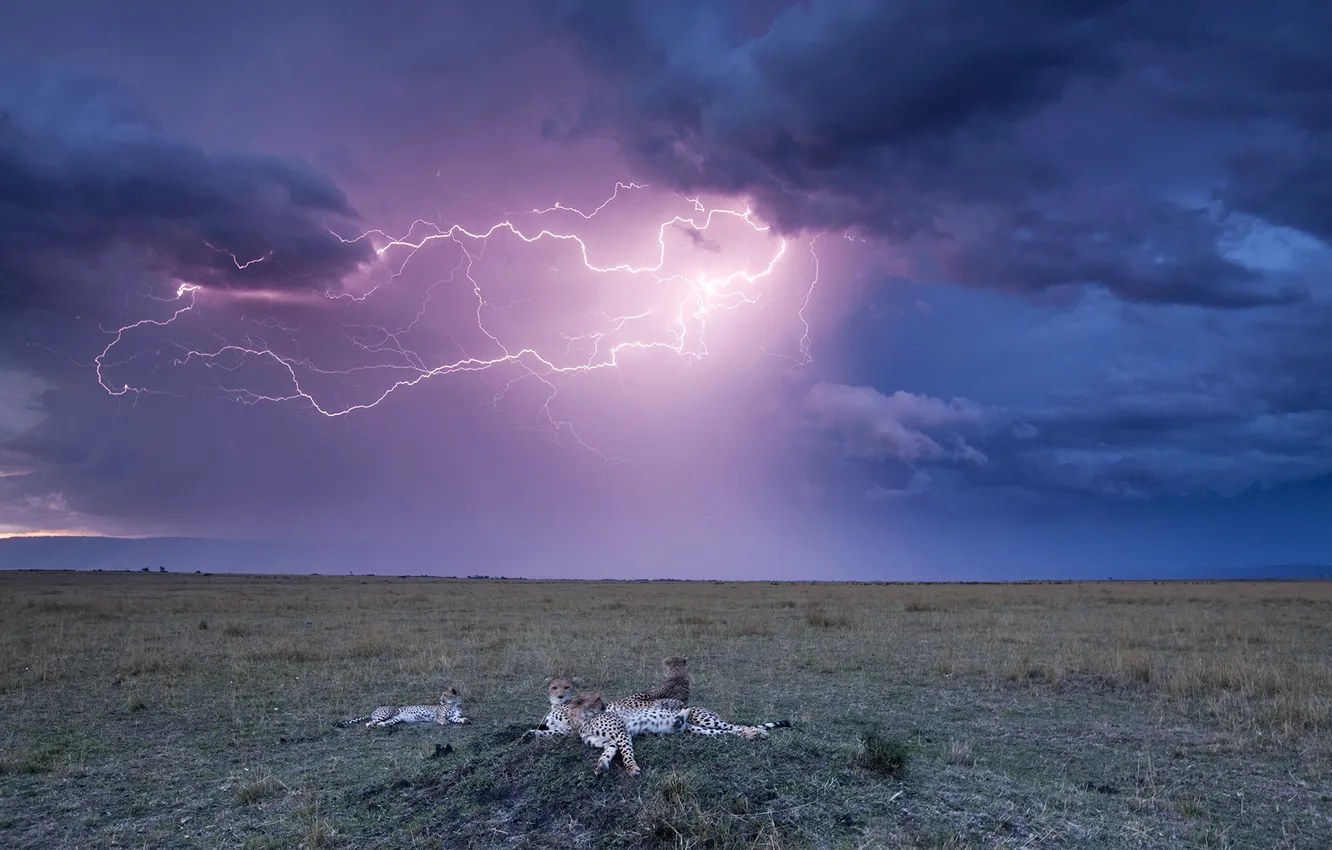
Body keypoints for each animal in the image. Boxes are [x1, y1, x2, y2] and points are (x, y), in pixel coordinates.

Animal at [335, 687, 471, 735]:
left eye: (445, 695)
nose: (439, 700)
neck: (454, 704)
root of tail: (374, 710)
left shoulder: (453, 716)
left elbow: (457, 718)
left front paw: (465, 720)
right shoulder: (439, 715)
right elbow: (442, 719)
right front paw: (444, 722)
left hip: (395, 719)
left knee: (382, 723)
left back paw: (384, 726)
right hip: (388, 712)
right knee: (369, 723)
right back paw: (371, 726)